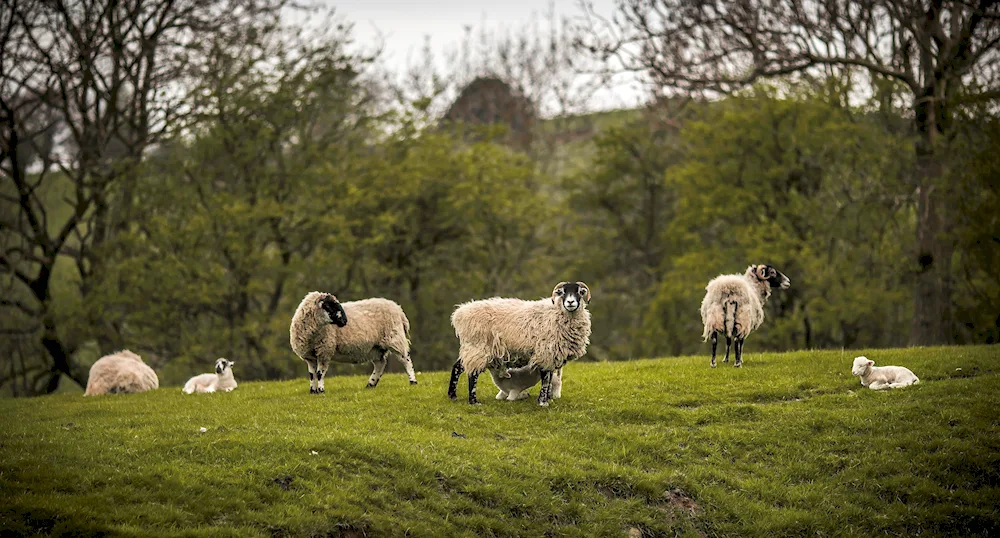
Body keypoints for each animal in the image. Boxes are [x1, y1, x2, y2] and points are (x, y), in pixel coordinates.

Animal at [288, 292, 416, 392]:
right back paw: (370, 384)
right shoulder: (309, 356)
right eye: (329, 306)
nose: (345, 321)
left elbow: (320, 373)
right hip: (375, 348)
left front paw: (320, 390)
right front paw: (312, 390)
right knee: (380, 364)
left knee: (406, 359)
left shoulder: (324, 351)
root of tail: (397, 308)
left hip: (395, 338)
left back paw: (413, 381)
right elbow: (312, 375)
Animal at [448, 282, 592, 404]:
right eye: (562, 292)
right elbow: (546, 378)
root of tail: (459, 314)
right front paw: (542, 402)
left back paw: (452, 396)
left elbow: (550, 376)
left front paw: (547, 399)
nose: (570, 302)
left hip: (472, 347)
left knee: (457, 367)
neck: (558, 312)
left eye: (580, 292)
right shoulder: (545, 352)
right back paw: (473, 401)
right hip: (478, 347)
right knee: (472, 374)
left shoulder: (552, 354)